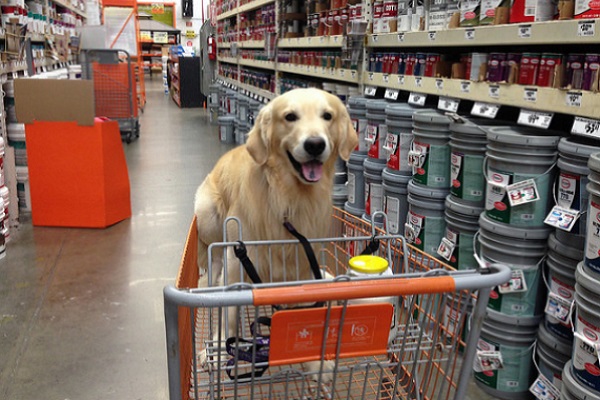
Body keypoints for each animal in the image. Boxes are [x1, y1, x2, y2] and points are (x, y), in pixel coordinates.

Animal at [196, 87, 356, 378]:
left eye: (327, 116)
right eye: (290, 116)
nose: (315, 144)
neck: (289, 198)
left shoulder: (304, 260)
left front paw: (314, 364)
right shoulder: (237, 260)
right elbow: (228, 315)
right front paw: (218, 349)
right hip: (208, 214)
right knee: (213, 263)